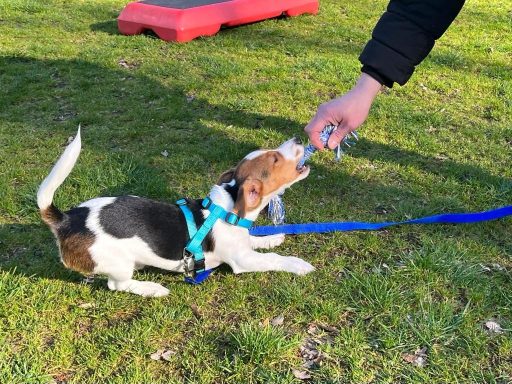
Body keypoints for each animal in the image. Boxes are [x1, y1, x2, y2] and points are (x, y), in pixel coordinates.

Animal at [36, 129, 314, 296]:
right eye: (275, 159)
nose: (299, 139)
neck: (229, 209)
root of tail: (67, 220)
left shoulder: (244, 246)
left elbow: (258, 240)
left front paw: (273, 237)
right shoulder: (243, 260)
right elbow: (275, 259)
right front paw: (298, 264)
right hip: (119, 264)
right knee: (117, 285)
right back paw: (152, 289)